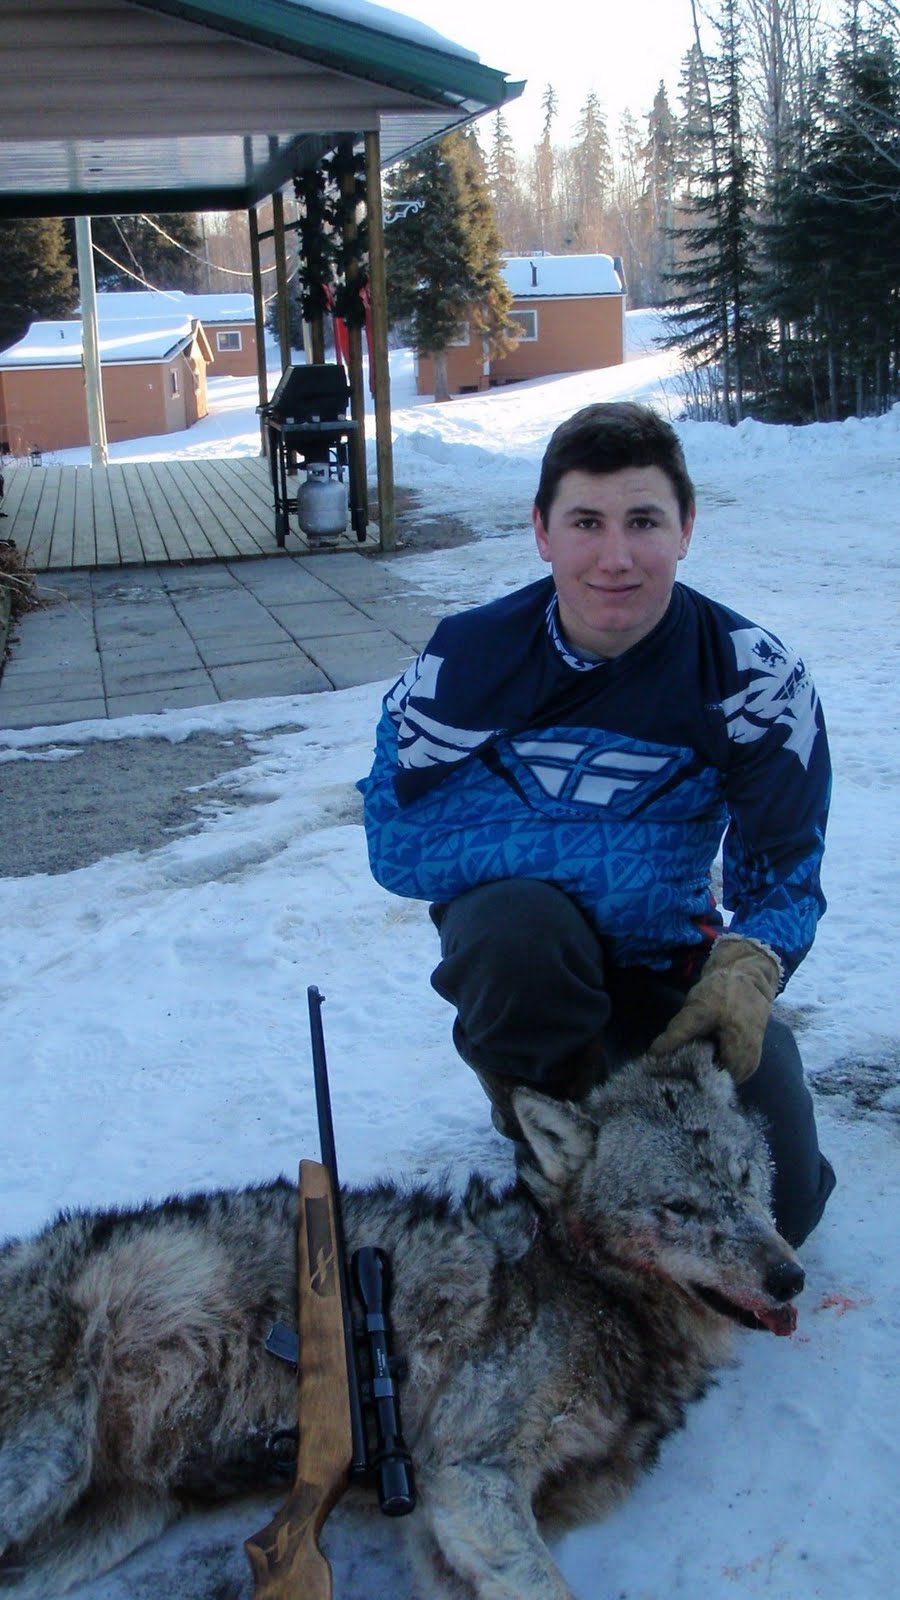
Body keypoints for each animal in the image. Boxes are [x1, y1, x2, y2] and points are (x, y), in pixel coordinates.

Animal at [0, 1043, 804, 1600]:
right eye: (680, 1207)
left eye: (743, 1179)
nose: (789, 1277)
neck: (586, 1286)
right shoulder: (468, 1477)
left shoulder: (443, 1525)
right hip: (44, 1468)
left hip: (116, 1518)